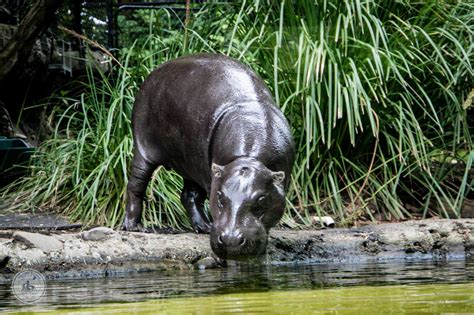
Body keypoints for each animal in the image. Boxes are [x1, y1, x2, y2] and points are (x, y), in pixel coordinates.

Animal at [123, 53, 292, 262]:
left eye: (261, 199)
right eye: (219, 196)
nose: (231, 240)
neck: (248, 158)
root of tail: (155, 71)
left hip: (191, 162)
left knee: (188, 196)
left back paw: (203, 227)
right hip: (144, 149)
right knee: (136, 185)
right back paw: (137, 227)